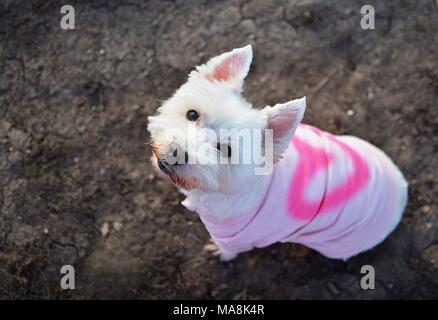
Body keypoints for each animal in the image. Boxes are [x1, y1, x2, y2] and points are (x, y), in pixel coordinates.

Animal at [149, 44, 408, 260]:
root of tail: (402, 190)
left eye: (225, 149)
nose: (177, 152)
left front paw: (219, 254)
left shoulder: (234, 238)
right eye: (192, 114)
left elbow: (227, 251)